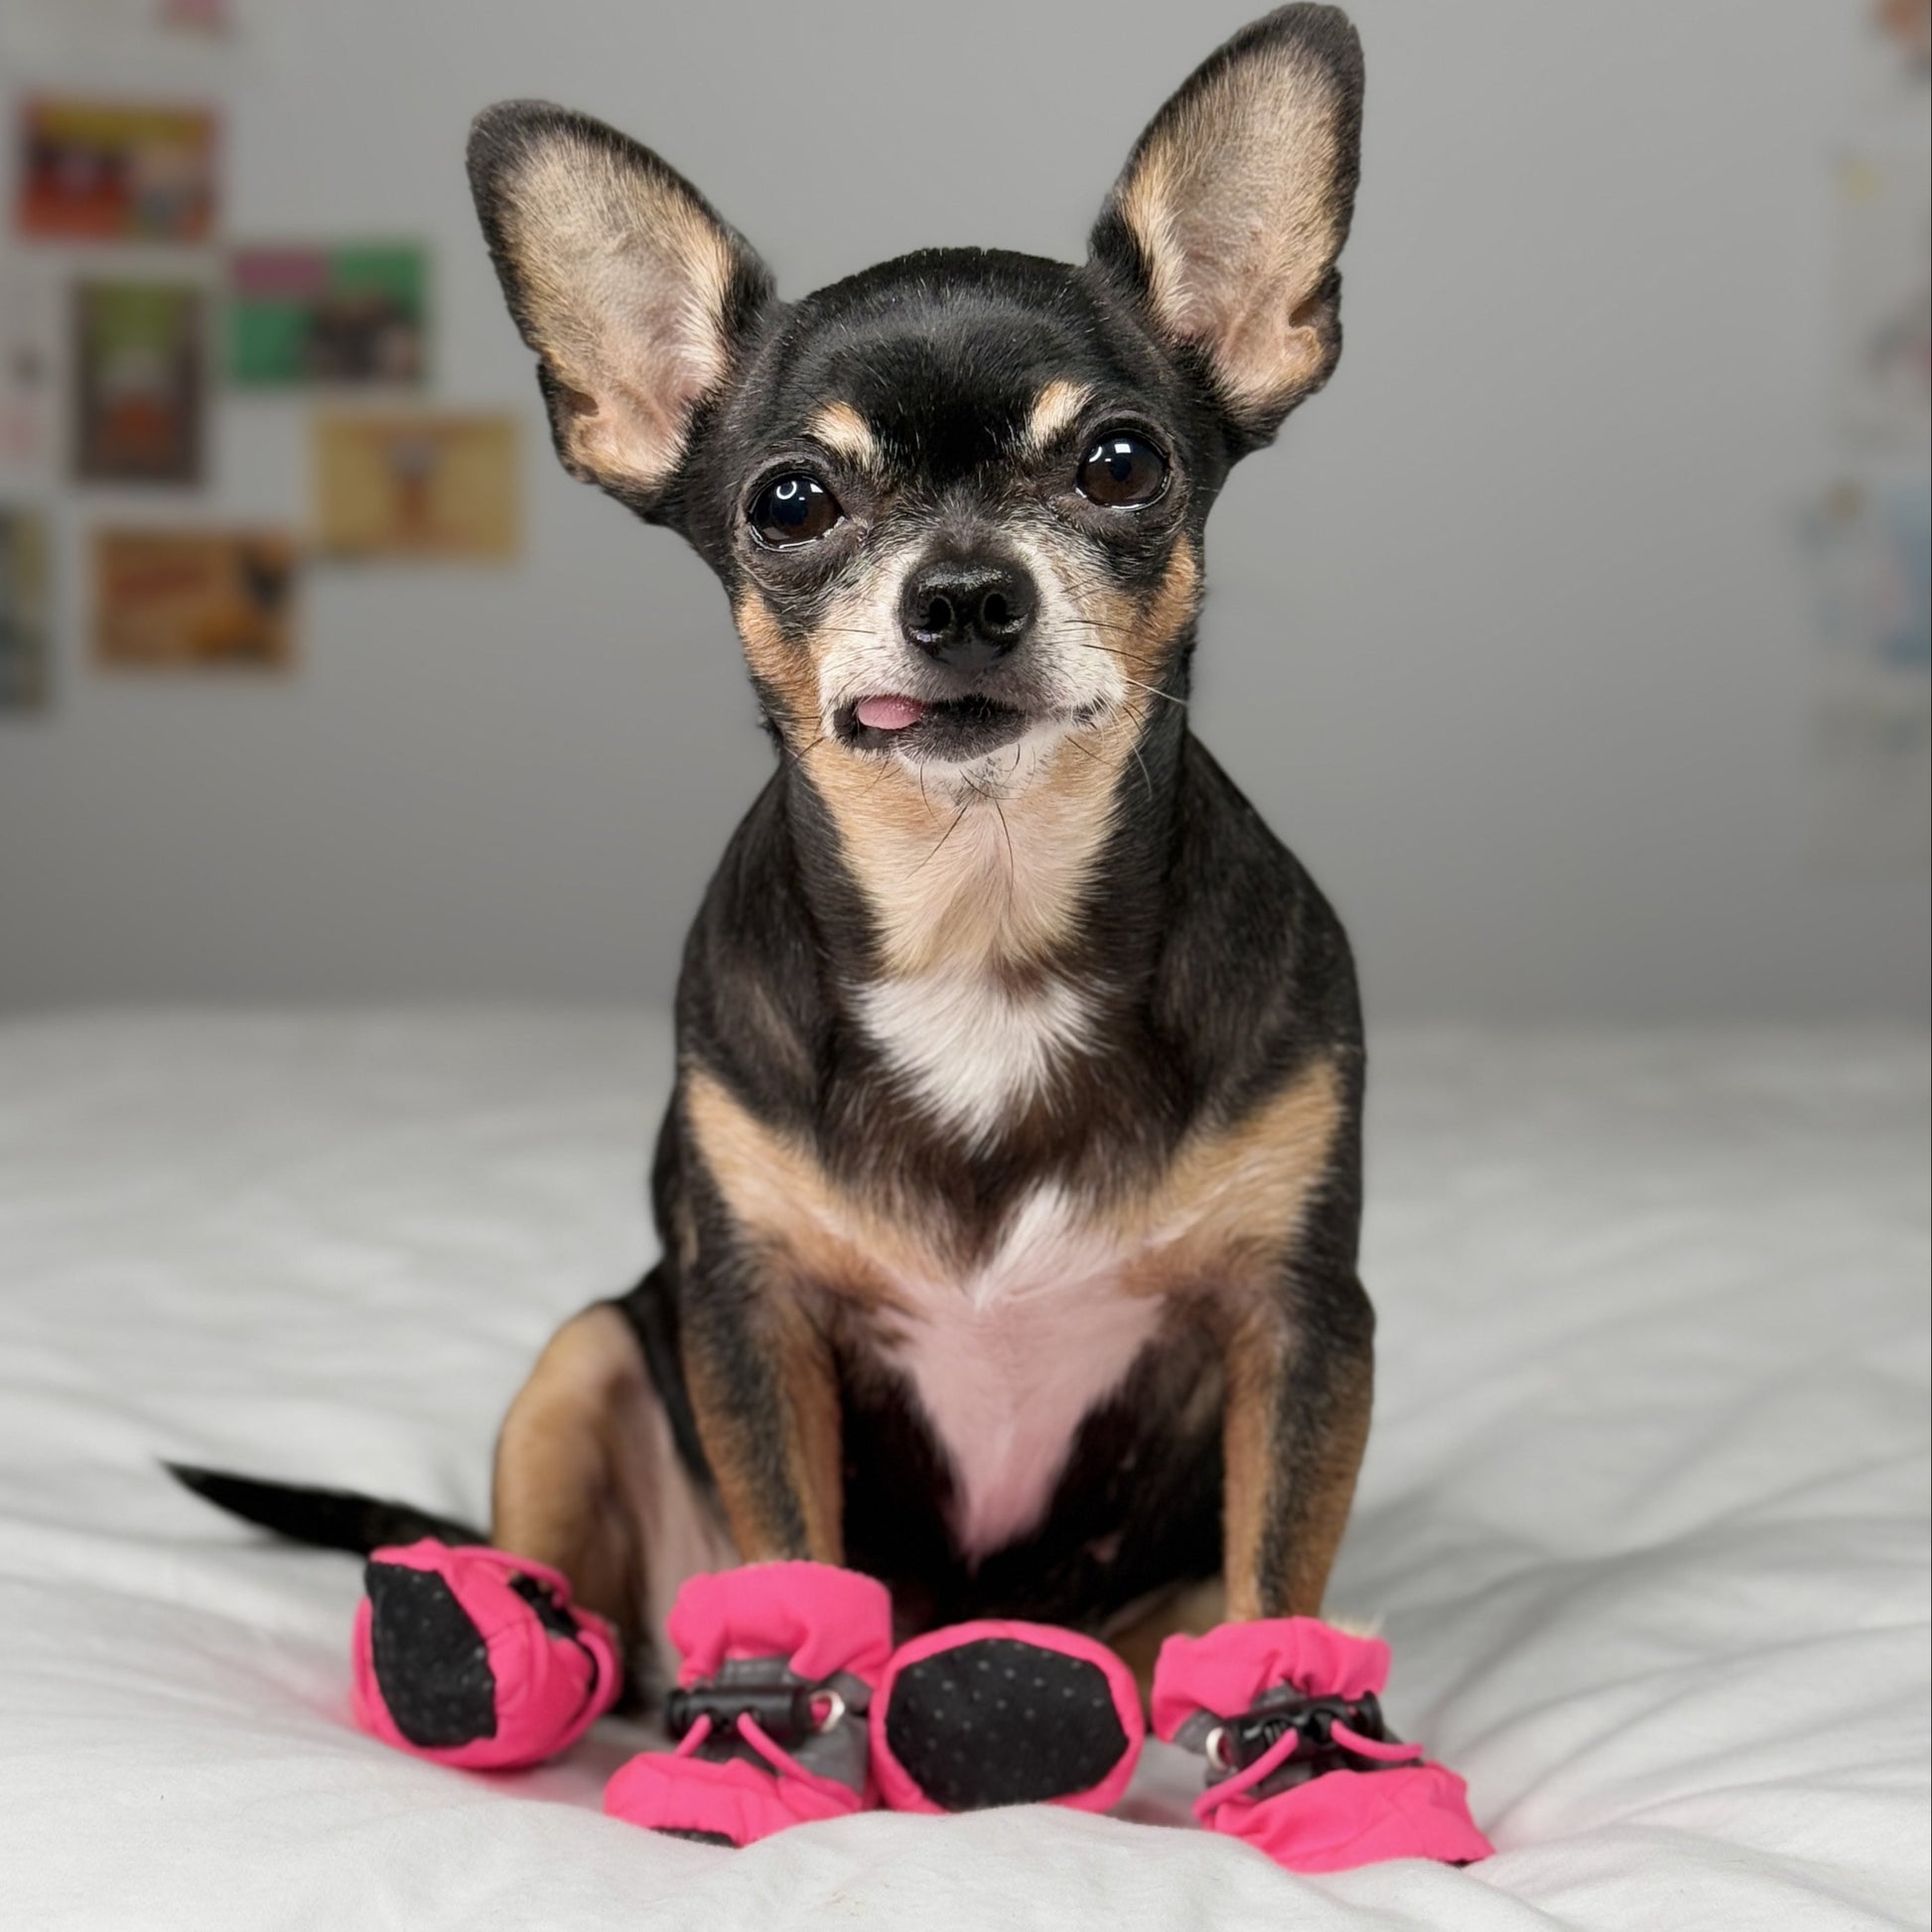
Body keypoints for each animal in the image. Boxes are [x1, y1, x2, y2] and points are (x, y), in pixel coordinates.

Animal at [181, 0, 1375, 1723]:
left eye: (1119, 462)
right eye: (791, 500)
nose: (964, 592)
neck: (979, 924)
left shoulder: (1302, 1323)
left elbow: (1279, 1571)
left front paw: (1312, 1741)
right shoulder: (752, 1322)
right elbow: (798, 1563)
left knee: (1187, 1634)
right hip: (588, 1356)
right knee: (593, 1604)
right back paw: (510, 1657)